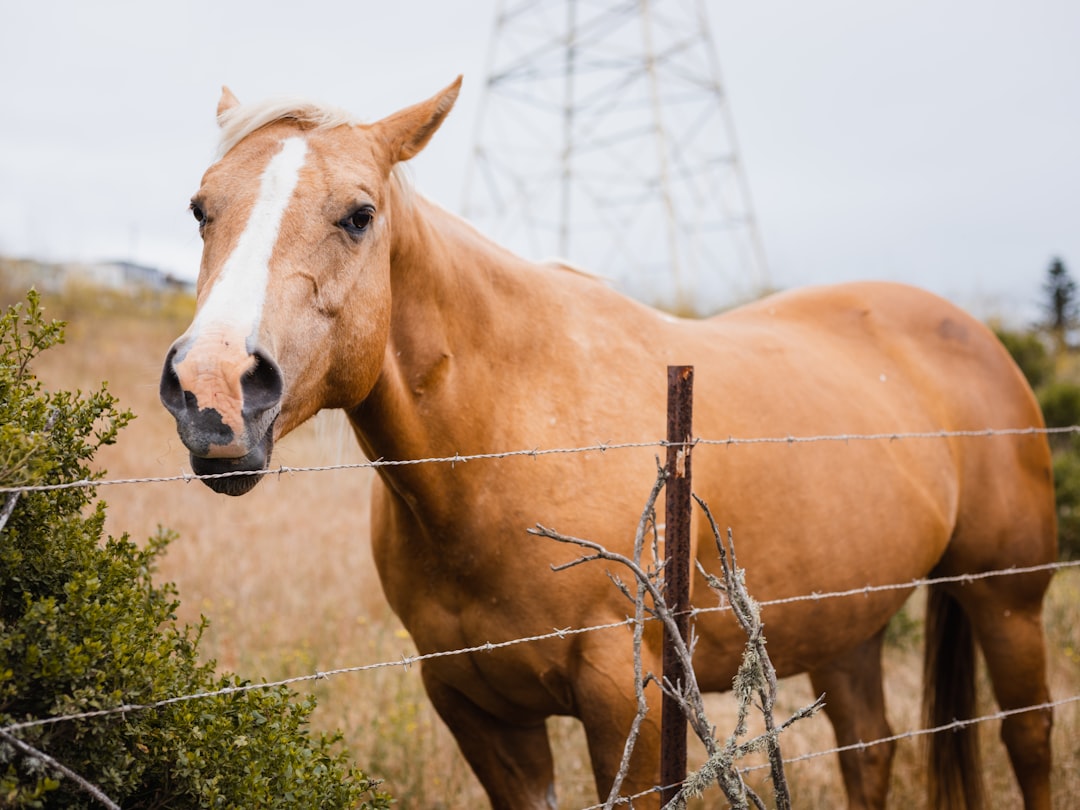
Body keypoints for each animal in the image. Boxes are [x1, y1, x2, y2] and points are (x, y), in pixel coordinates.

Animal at [160, 78, 1056, 809]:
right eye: (201, 209)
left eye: (358, 216)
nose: (212, 392)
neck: (504, 447)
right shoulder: (478, 712)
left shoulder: (631, 704)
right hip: (847, 628)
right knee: (870, 752)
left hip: (1006, 600)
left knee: (1029, 734)